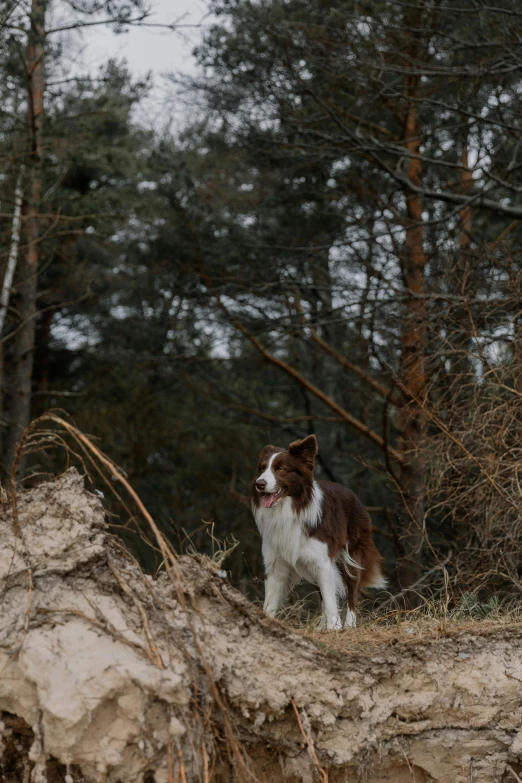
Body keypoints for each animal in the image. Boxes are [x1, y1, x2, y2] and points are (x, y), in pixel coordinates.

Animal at [250, 434, 384, 632]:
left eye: (281, 469)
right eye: (262, 469)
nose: (259, 484)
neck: (289, 509)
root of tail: (353, 494)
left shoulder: (322, 562)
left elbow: (330, 598)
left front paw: (335, 628)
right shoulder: (276, 564)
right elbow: (271, 601)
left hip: (352, 554)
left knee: (352, 590)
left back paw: (350, 625)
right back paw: (321, 626)